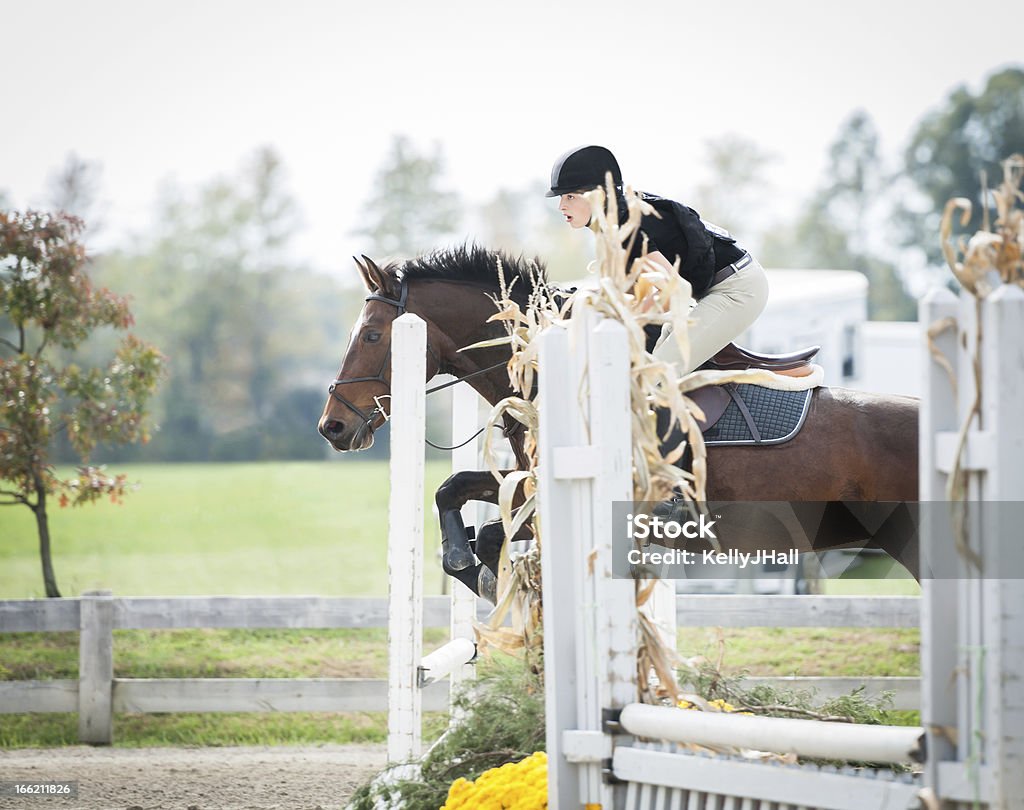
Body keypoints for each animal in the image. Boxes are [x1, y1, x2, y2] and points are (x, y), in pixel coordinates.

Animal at [315, 245, 917, 593]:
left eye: (373, 336)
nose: (332, 428)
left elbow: (490, 531)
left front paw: (481, 569)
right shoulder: (525, 478)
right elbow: (454, 489)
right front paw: (467, 564)